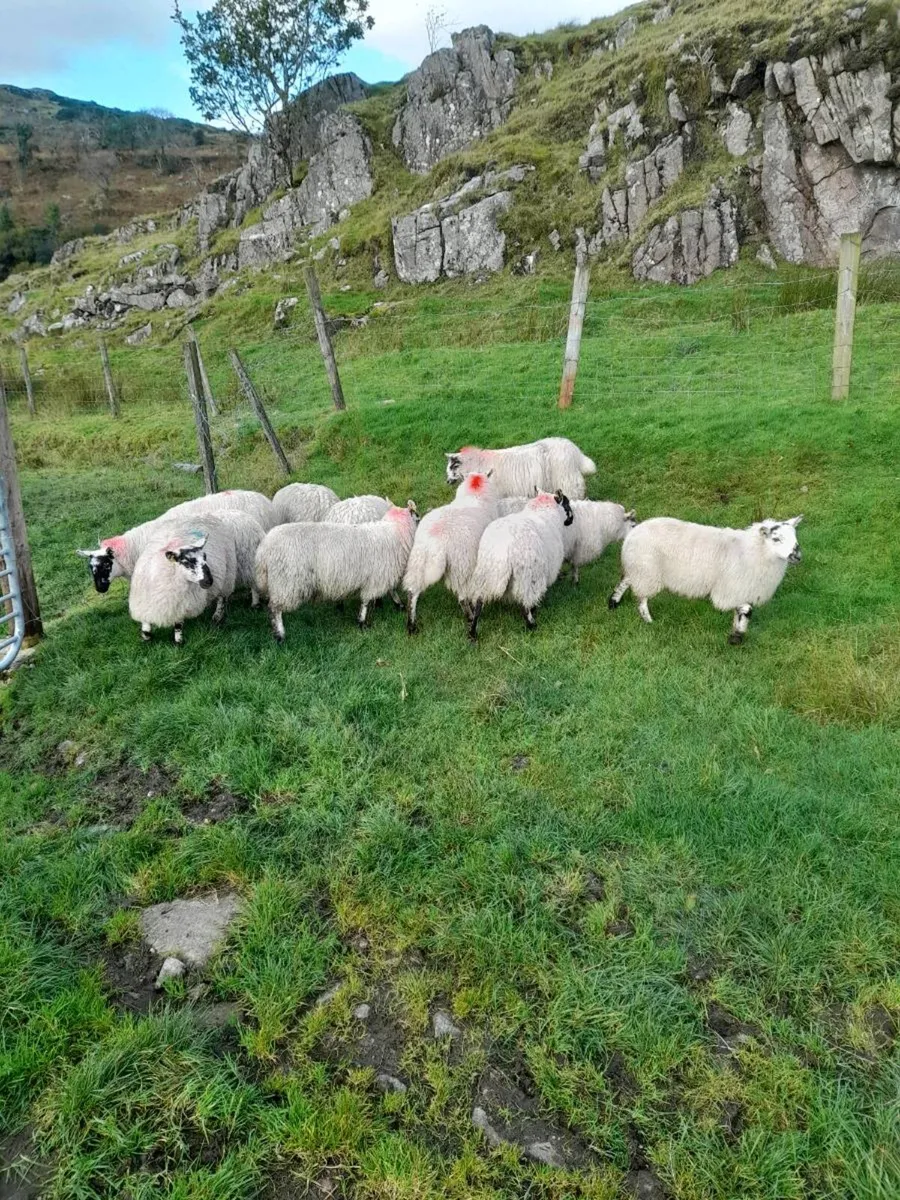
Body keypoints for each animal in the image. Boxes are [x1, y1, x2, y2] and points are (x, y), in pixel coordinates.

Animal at [127, 515, 237, 645]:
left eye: (205, 557)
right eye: (186, 562)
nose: (209, 581)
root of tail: (207, 516)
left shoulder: (180, 604)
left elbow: (178, 625)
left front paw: (178, 642)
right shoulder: (144, 604)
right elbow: (146, 627)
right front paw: (146, 639)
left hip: (228, 576)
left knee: (222, 598)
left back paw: (217, 616)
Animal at [255, 503, 419, 642]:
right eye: (417, 517)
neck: (394, 530)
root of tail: (264, 549)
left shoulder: (381, 574)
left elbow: (388, 590)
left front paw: (397, 604)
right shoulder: (377, 577)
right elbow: (366, 601)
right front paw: (362, 622)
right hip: (287, 583)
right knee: (274, 609)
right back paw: (280, 636)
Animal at [403, 472, 499, 634]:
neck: (474, 492)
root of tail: (437, 542)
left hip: (418, 559)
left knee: (412, 591)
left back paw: (411, 625)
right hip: (461, 566)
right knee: (462, 597)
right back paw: (470, 617)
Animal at [467, 490, 574, 640]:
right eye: (567, 504)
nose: (571, 520)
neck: (541, 510)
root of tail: (503, 549)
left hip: (485, 573)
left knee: (478, 603)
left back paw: (473, 633)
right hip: (527, 577)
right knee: (525, 604)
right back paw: (531, 625)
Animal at [608, 515, 803, 643]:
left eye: (795, 537)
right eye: (776, 538)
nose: (798, 556)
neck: (753, 551)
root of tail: (632, 533)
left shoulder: (741, 589)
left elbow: (741, 612)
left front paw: (736, 630)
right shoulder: (732, 588)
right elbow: (747, 610)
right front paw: (737, 636)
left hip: (638, 569)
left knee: (625, 580)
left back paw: (613, 602)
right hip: (647, 572)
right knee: (642, 598)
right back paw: (648, 620)